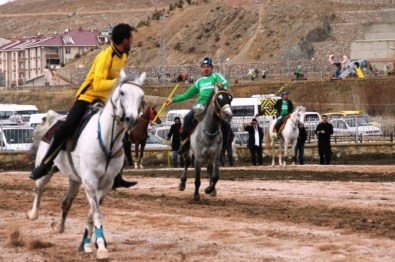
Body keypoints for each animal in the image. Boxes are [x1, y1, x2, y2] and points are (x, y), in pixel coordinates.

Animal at [27, 69, 146, 260]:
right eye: (122, 92)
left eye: (142, 96)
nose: (132, 119)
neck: (106, 139)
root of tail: (54, 120)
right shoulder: (90, 181)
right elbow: (97, 213)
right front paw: (101, 247)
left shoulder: (105, 184)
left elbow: (91, 214)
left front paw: (88, 244)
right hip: (47, 169)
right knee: (39, 188)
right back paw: (33, 214)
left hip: (75, 180)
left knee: (66, 202)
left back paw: (59, 227)